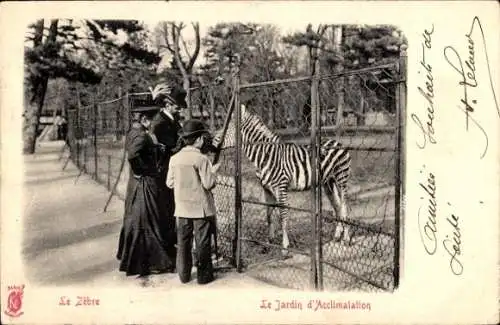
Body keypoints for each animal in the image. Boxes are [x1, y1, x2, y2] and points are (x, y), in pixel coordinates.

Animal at [213, 104, 354, 256]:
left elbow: (283, 215)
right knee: (337, 205)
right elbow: (268, 214)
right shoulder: (266, 188)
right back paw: (337, 236)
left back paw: (346, 239)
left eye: (228, 128)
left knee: (345, 206)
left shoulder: (281, 187)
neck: (265, 156)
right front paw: (268, 243)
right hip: (328, 182)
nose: (211, 140)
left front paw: (285, 248)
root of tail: (337, 142)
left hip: (341, 178)